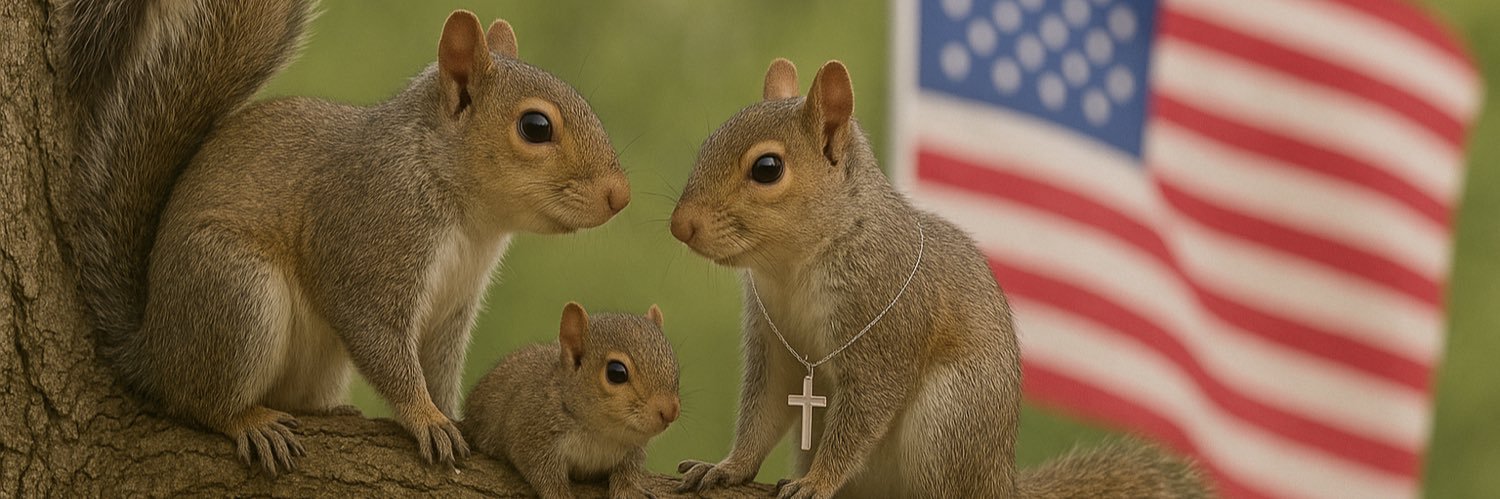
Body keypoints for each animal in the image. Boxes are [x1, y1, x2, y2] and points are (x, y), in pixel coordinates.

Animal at [62, 2, 629, 474]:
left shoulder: (454, 306)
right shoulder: (368, 243)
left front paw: (452, 414)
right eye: (535, 126)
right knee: (197, 401)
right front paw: (426, 418)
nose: (620, 196)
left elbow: (440, 366)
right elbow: (382, 345)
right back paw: (248, 421)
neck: (470, 219)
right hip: (235, 295)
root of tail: (151, 348)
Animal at [462, 302, 680, 499]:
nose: (671, 411)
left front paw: (630, 489)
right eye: (616, 373)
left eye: (674, 363)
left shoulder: (633, 449)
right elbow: (542, 473)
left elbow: (629, 470)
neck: (603, 434)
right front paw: (559, 494)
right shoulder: (529, 433)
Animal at [668, 58, 1210, 498]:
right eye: (708, 143)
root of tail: (1001, 484)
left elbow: (861, 416)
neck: (790, 269)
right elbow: (762, 411)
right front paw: (727, 466)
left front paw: (817, 481)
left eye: (767, 168)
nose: (679, 225)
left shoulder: (884, 333)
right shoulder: (773, 340)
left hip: (950, 419)